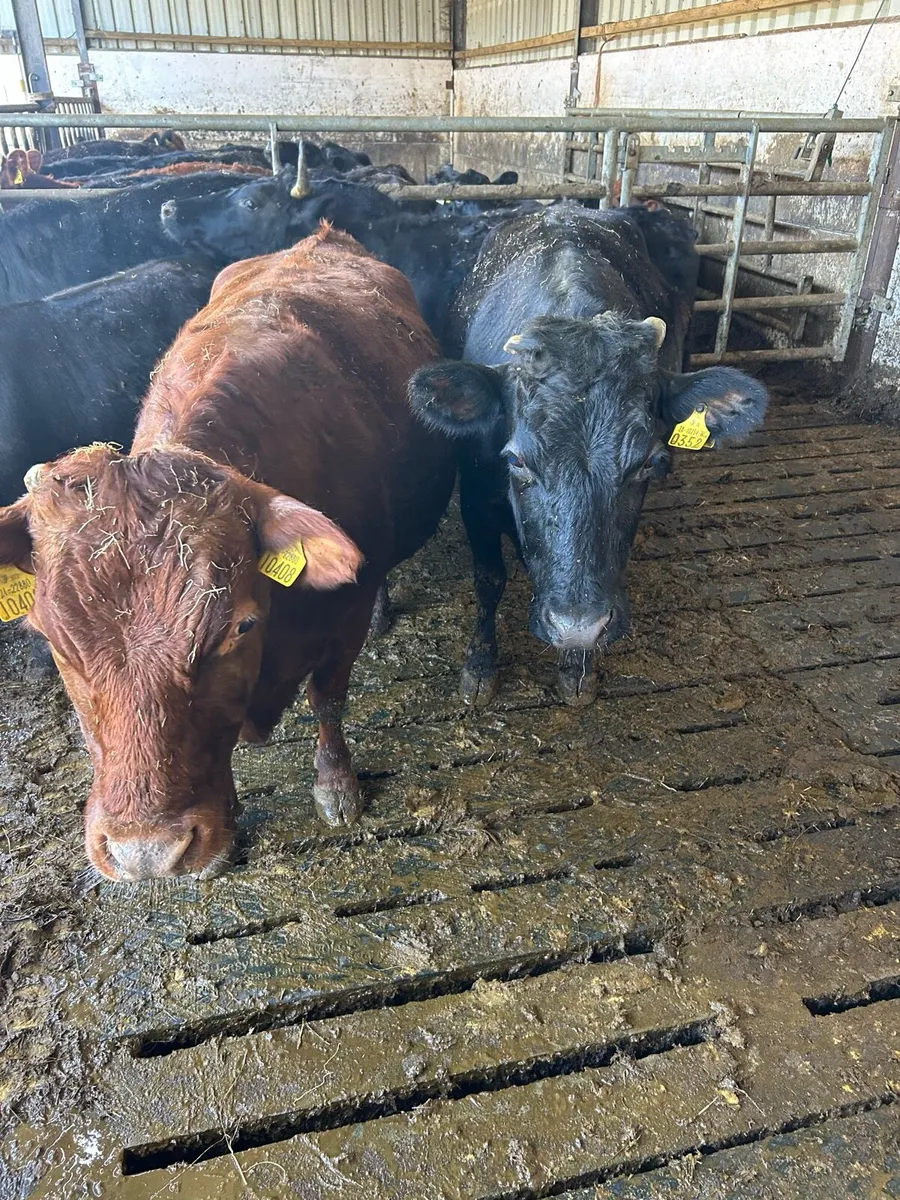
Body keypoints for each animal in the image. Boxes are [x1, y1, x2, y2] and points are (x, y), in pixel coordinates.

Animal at [408, 202, 769, 706]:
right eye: (516, 461)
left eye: (649, 463)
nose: (578, 628)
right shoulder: (476, 494)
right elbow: (489, 578)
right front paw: (480, 664)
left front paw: (576, 668)